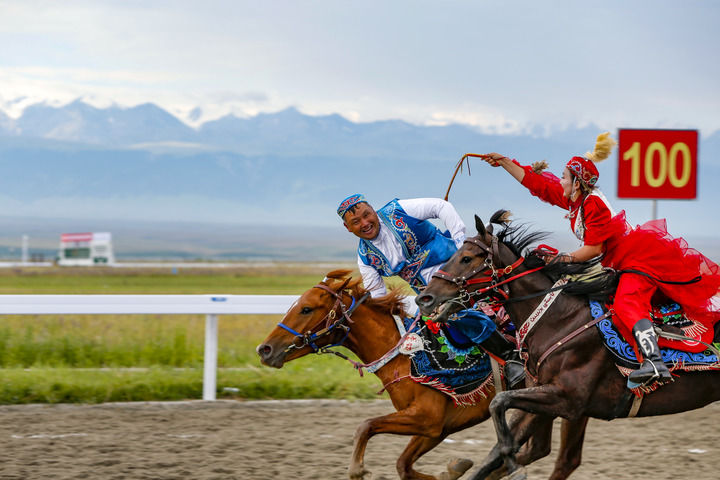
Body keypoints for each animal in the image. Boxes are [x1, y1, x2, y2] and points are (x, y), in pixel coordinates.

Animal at [258, 270, 592, 480]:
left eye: (306, 309)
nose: (265, 349)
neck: (406, 356)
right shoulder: (436, 428)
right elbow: (403, 465)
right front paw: (453, 469)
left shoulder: (427, 418)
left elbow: (367, 426)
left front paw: (357, 468)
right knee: (540, 449)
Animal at [416, 215, 720, 480]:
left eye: (467, 258)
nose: (424, 298)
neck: (558, 321)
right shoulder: (543, 397)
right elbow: (499, 446)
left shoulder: (568, 400)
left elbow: (499, 405)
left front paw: (514, 468)